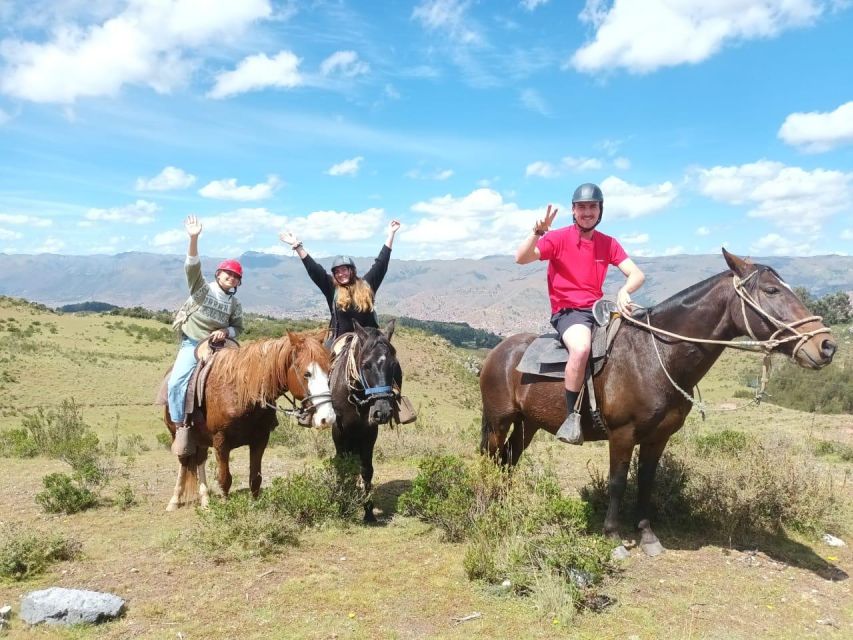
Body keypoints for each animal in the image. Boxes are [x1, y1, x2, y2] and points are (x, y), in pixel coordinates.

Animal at [161, 330, 334, 510]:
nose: (327, 418)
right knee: (183, 461)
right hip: (178, 435)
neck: (241, 392)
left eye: (329, 370)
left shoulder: (260, 439)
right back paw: (175, 500)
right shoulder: (221, 441)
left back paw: (205, 499)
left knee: (200, 459)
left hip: (201, 438)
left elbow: (255, 479)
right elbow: (225, 479)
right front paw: (225, 509)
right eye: (307, 373)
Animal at [332, 318, 402, 524]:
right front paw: (341, 504)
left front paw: (369, 511)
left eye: (393, 365)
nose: (383, 411)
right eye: (366, 365)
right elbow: (341, 466)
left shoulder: (369, 432)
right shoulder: (338, 431)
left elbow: (366, 469)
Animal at [482, 248, 836, 556]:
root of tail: (499, 352)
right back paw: (487, 503)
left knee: (509, 459)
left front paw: (647, 534)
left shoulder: (658, 437)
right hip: (499, 421)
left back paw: (504, 502)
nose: (827, 345)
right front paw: (613, 535)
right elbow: (617, 482)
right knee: (492, 457)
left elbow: (646, 482)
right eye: (771, 290)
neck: (655, 357)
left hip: (528, 424)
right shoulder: (622, 435)